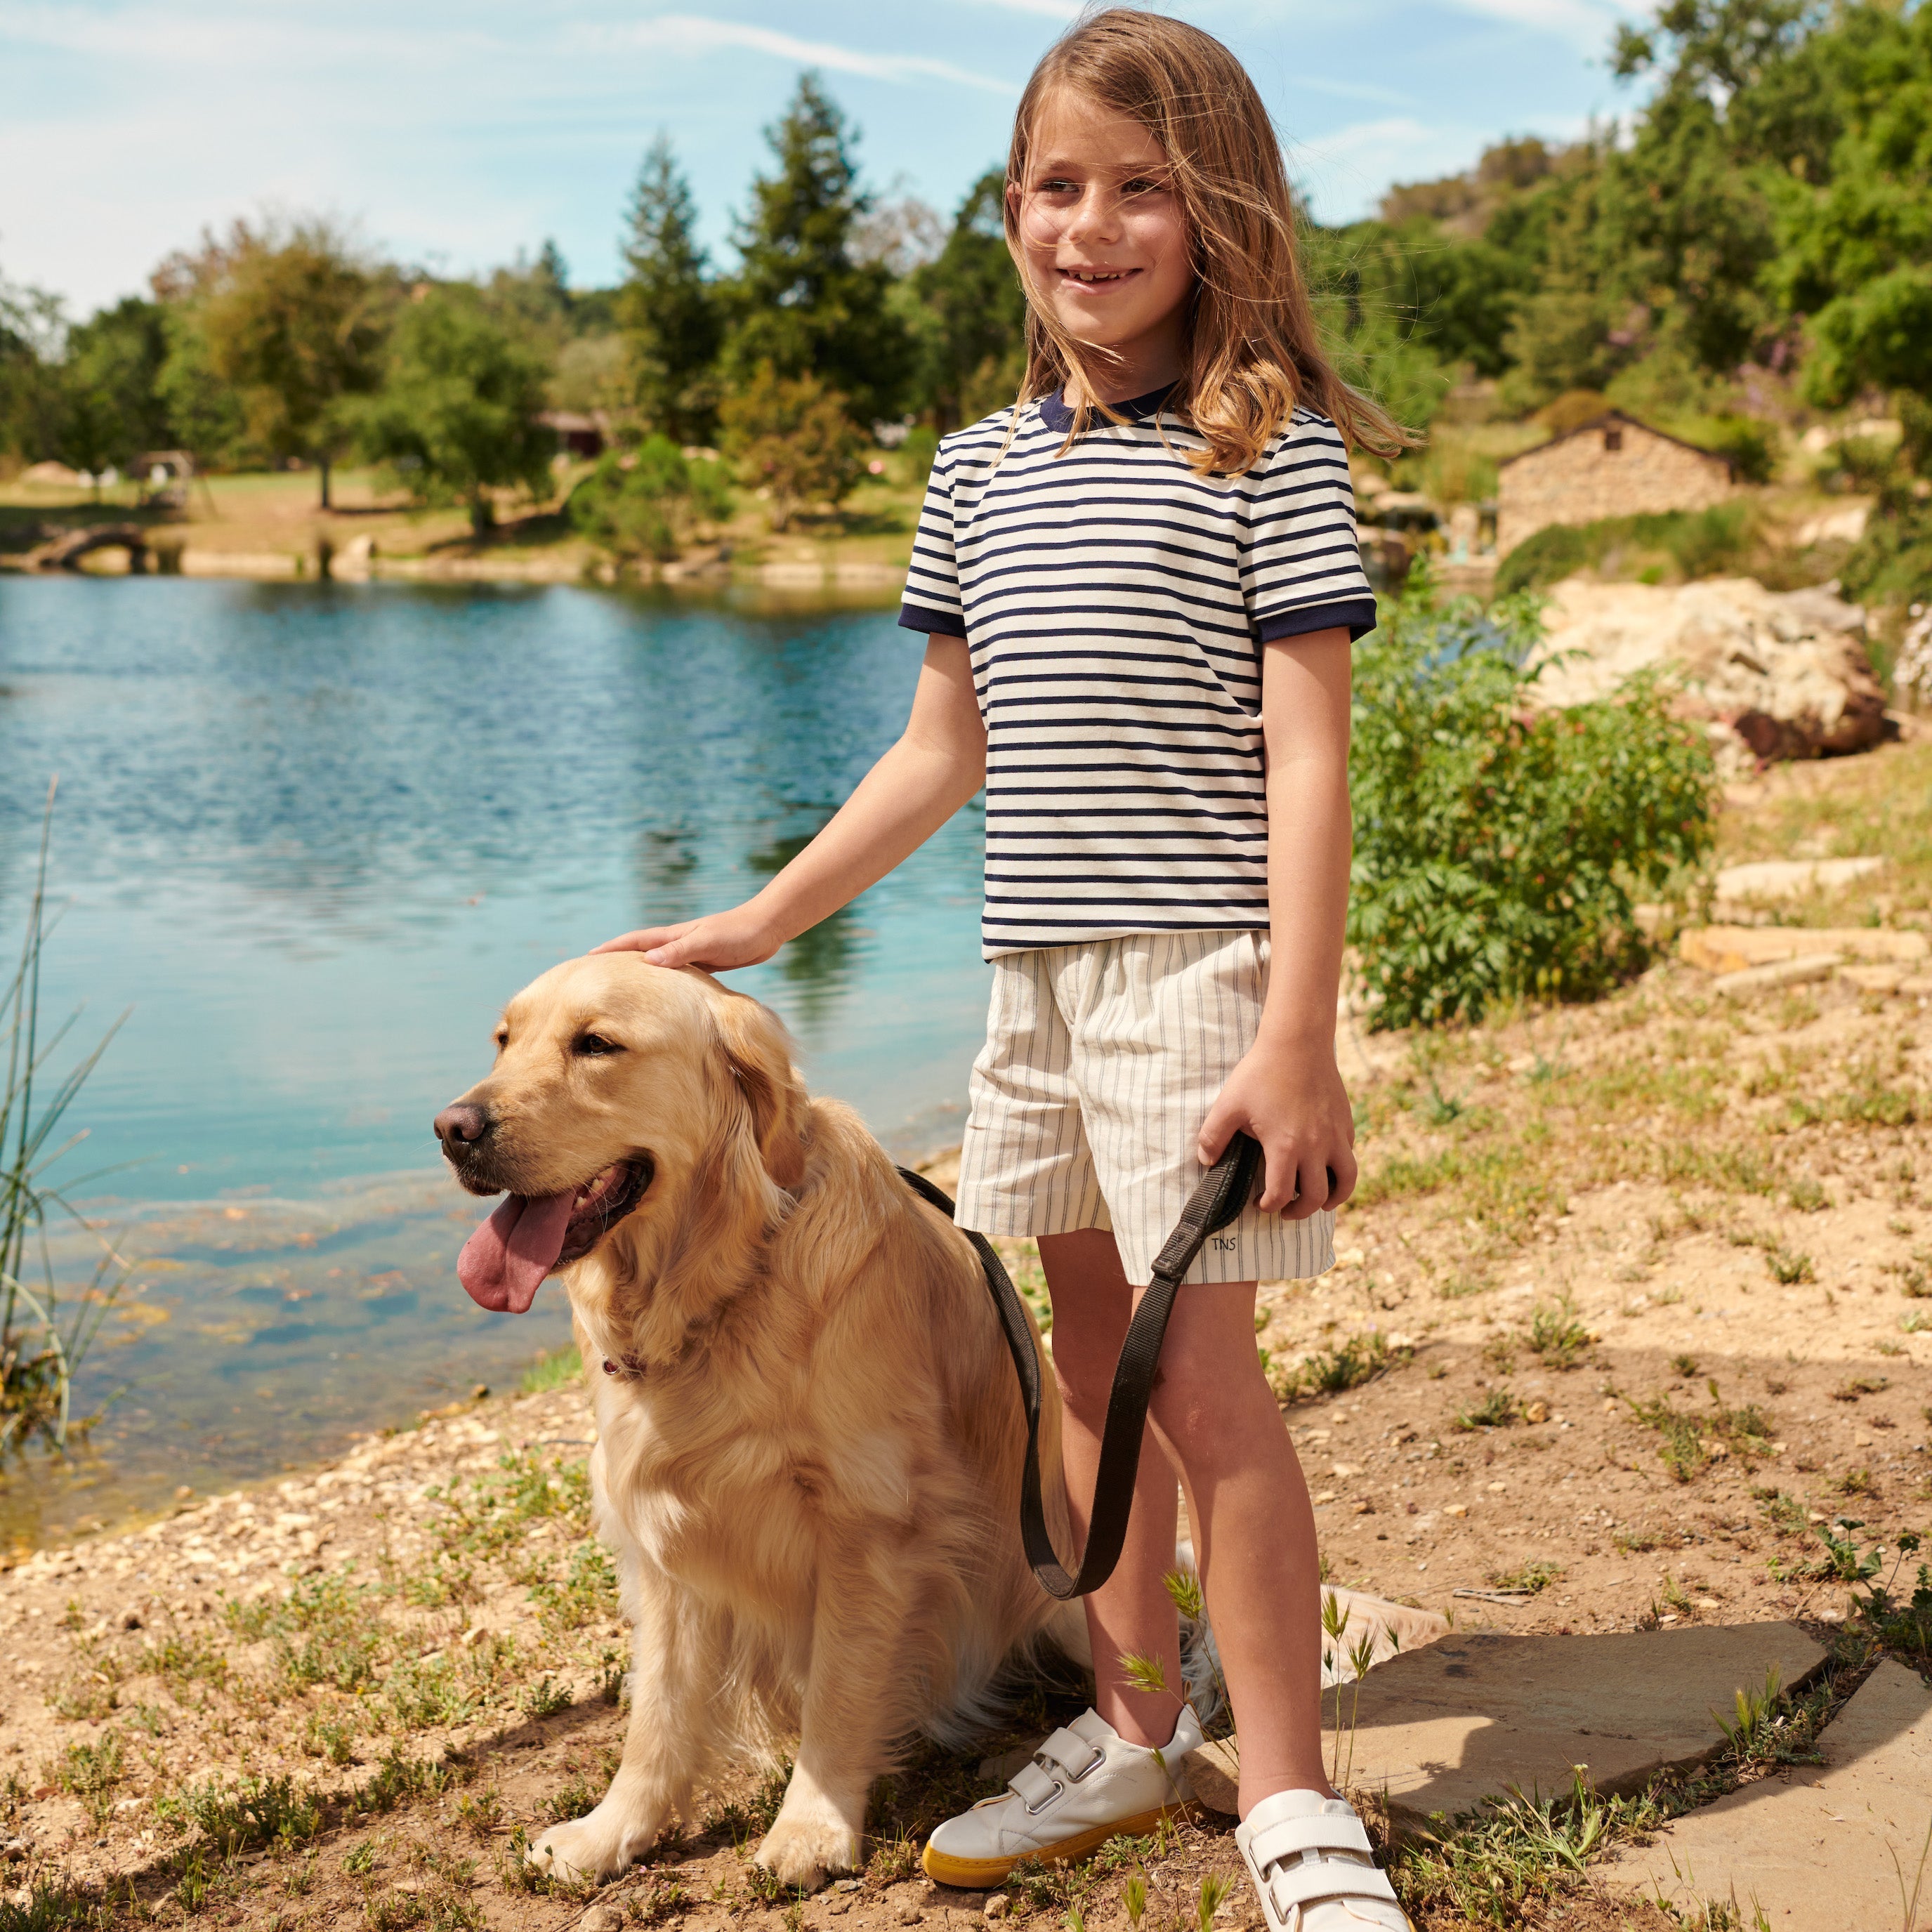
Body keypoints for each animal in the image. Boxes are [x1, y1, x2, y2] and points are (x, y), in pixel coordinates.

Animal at [431, 954, 1082, 1885]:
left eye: (596, 1045)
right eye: (503, 1040)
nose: (452, 1128)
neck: (718, 1285)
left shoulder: (870, 1522)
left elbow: (840, 1689)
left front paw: (812, 1826)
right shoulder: (665, 1540)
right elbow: (656, 1716)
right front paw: (612, 1832)